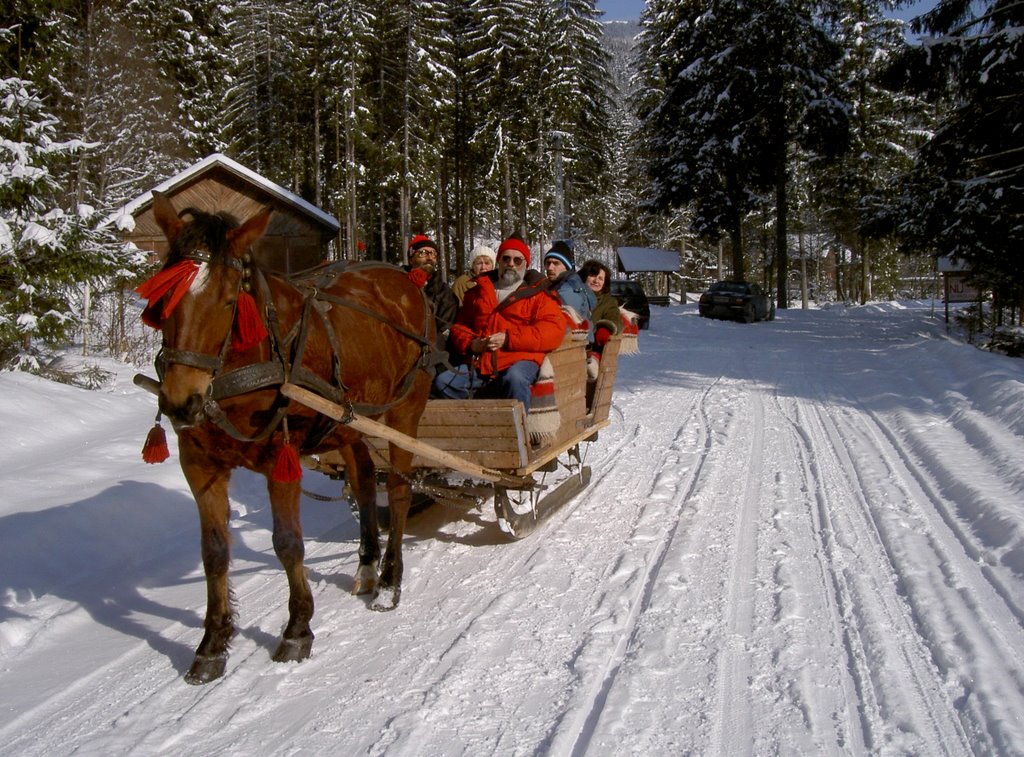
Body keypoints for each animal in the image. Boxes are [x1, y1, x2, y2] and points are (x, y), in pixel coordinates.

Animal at [139, 190, 432, 688]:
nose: (181, 403)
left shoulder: (282, 453)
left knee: (398, 488)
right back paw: (367, 566)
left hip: (404, 410)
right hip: (349, 420)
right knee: (363, 479)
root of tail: (405, 280)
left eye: (227, 300)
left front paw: (297, 629)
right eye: (163, 298)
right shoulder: (198, 461)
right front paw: (212, 643)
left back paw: (390, 580)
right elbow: (214, 552)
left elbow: (287, 542)